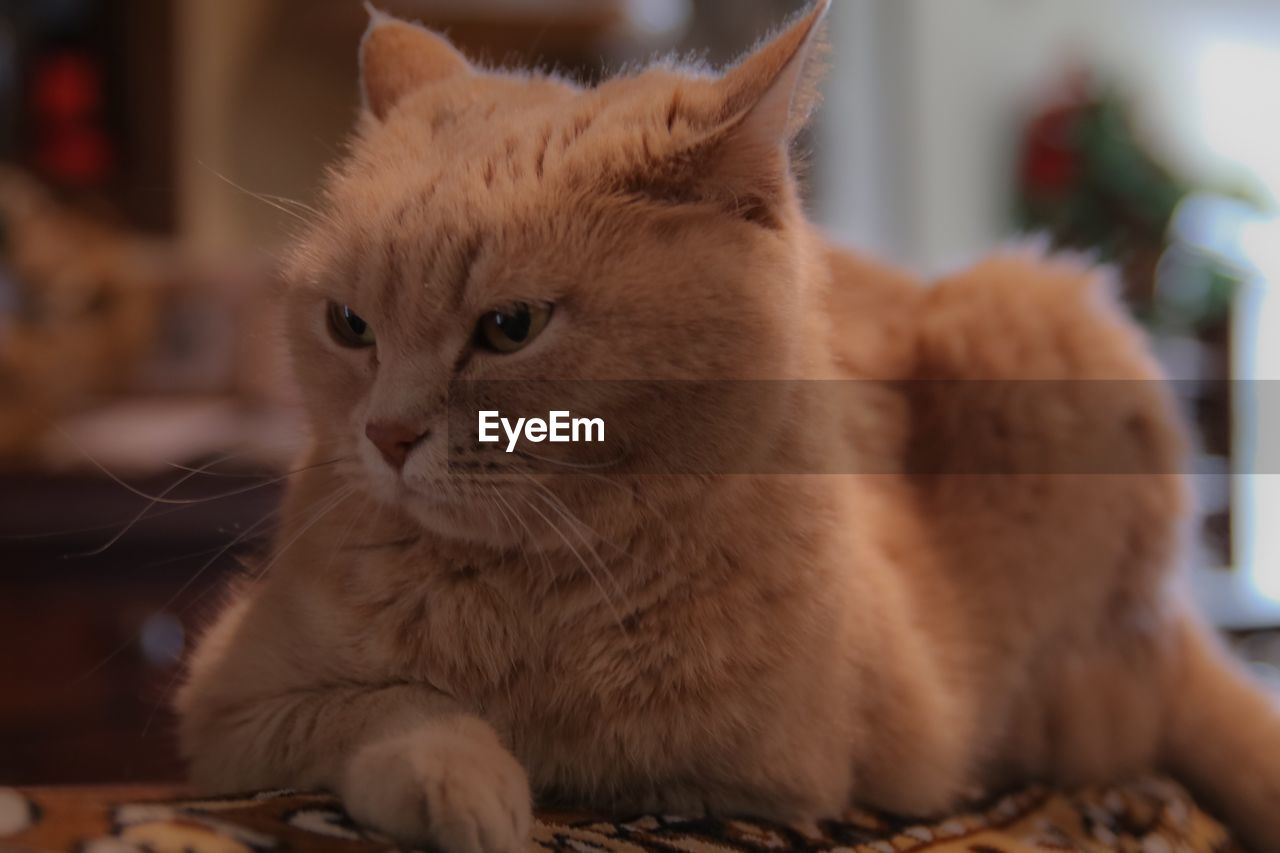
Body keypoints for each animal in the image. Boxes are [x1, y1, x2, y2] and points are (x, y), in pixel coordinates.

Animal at [177, 3, 1280, 845]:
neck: (533, 583)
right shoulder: (232, 703)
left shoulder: (741, 770)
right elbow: (389, 706)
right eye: (349, 325)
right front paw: (463, 778)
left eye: (510, 327)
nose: (387, 436)